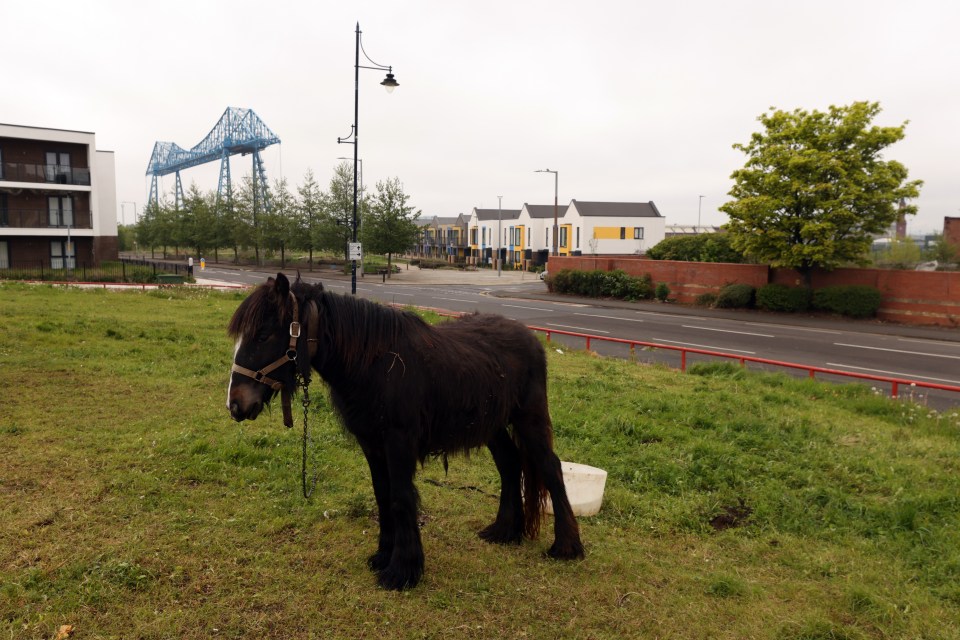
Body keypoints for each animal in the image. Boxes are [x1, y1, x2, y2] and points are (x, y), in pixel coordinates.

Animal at [227, 274, 584, 592]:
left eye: (263, 335)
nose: (235, 404)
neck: (373, 362)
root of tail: (531, 337)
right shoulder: (372, 445)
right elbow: (383, 496)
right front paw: (384, 556)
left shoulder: (398, 442)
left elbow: (400, 498)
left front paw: (403, 570)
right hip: (492, 425)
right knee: (510, 464)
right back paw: (505, 530)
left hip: (529, 418)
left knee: (550, 467)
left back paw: (567, 546)